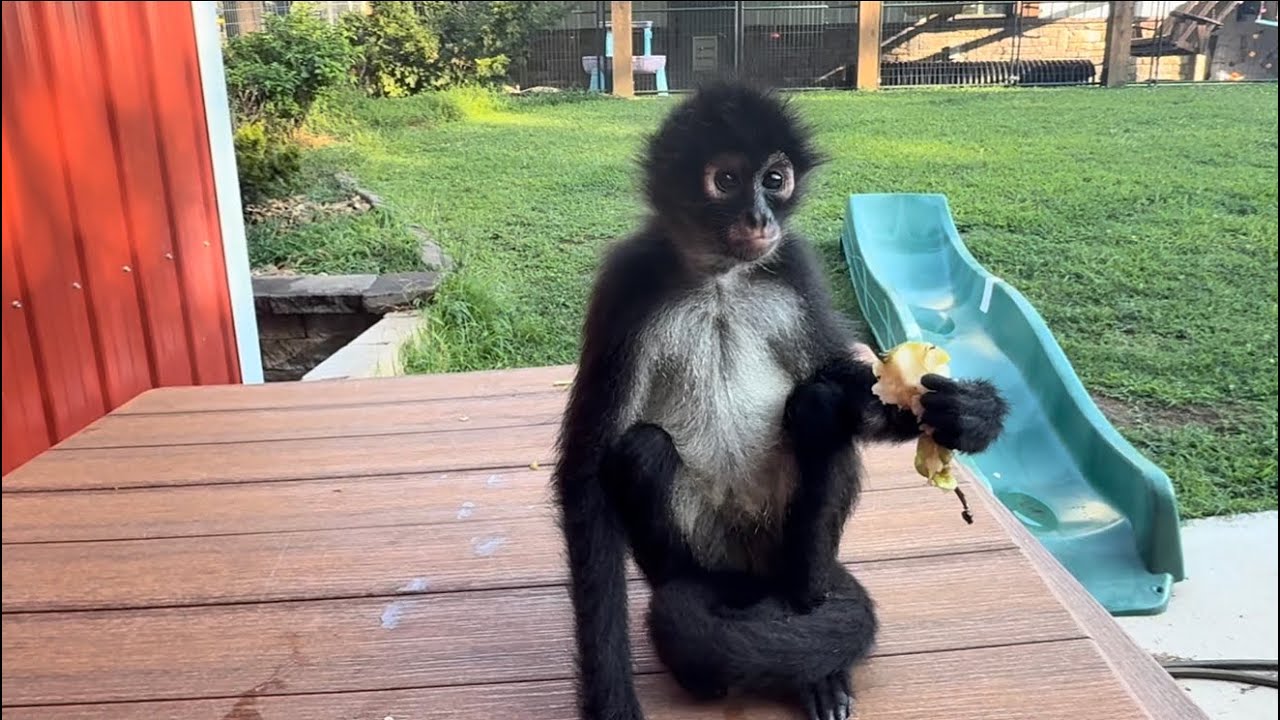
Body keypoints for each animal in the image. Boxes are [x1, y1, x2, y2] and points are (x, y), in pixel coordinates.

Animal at [551, 81, 1008, 720]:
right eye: (725, 180)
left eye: (774, 180)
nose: (760, 217)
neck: (721, 278)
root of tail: (755, 574)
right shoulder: (628, 281)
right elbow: (586, 474)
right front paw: (611, 699)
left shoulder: (792, 264)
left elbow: (846, 382)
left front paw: (971, 414)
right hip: (708, 548)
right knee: (641, 449)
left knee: (818, 406)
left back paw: (806, 619)